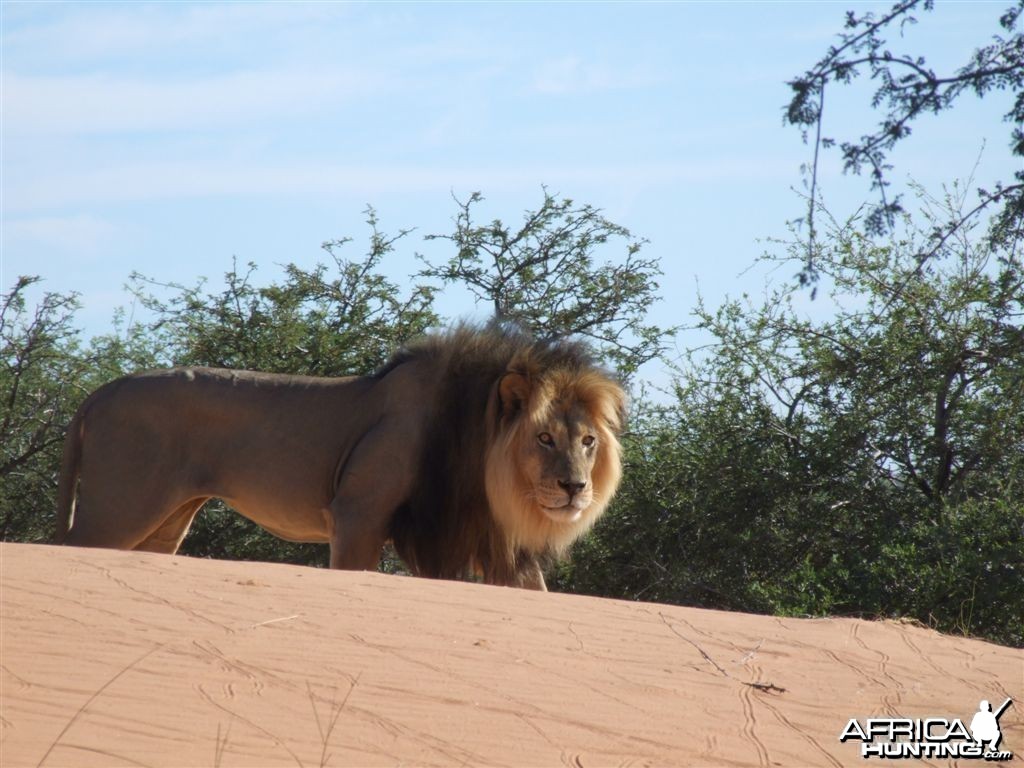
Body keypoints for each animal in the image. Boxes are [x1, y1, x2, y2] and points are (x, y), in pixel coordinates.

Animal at [61, 325, 630, 589]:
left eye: (588, 442)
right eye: (544, 438)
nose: (576, 488)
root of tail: (102, 390)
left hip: (166, 523)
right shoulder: (358, 513)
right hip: (119, 509)